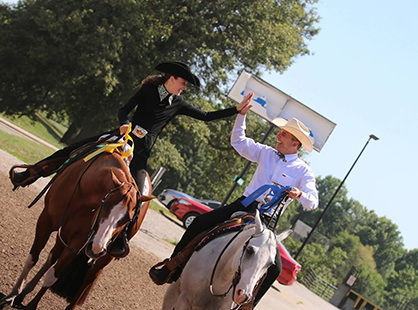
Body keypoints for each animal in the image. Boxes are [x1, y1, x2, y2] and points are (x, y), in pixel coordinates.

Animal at [0, 151, 153, 308]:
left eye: (128, 219)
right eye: (105, 204)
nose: (97, 248)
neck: (86, 190)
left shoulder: (79, 243)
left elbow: (52, 276)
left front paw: (32, 305)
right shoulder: (45, 220)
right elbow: (33, 258)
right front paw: (12, 295)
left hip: (103, 257)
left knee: (87, 280)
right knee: (52, 257)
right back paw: (22, 293)